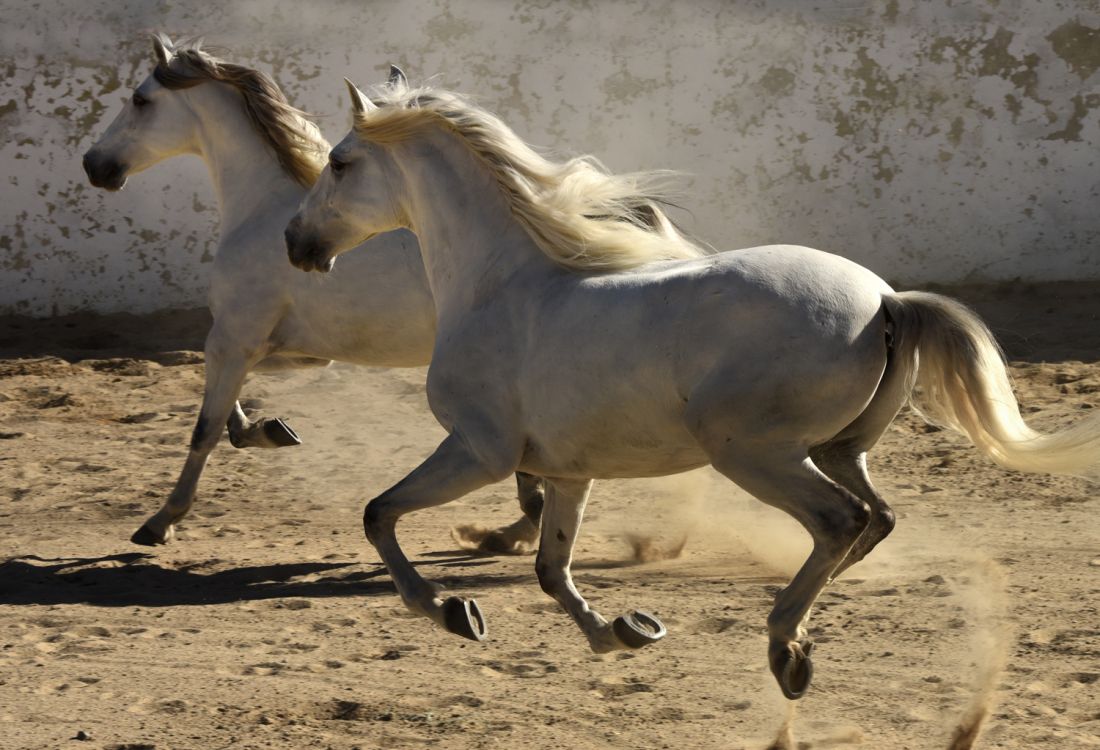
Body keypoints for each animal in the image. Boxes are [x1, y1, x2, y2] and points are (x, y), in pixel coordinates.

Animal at [81, 35, 548, 552]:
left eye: (140, 100)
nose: (94, 165)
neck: (262, 207)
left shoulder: (234, 336)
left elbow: (205, 427)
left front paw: (161, 521)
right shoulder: (290, 348)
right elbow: (225, 402)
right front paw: (270, 430)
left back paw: (514, 531)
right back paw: (513, 532)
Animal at [284, 68, 1100, 700]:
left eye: (340, 162)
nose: (298, 242)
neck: (501, 283)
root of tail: (886, 300)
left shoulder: (477, 450)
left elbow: (379, 515)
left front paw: (450, 610)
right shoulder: (567, 471)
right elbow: (551, 567)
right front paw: (620, 633)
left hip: (752, 451)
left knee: (840, 521)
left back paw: (785, 643)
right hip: (837, 449)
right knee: (876, 518)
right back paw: (800, 621)